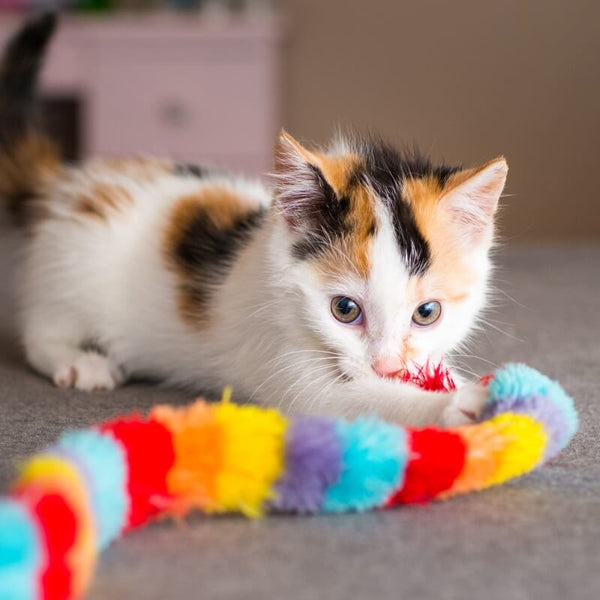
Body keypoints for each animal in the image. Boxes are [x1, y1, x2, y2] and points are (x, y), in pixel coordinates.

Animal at [0, 14, 506, 426]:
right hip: (70, 269)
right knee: (39, 329)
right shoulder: (283, 366)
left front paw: (462, 384)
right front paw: (457, 405)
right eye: (344, 310)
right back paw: (79, 361)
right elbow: (357, 399)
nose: (388, 367)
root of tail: (67, 178)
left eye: (427, 313)